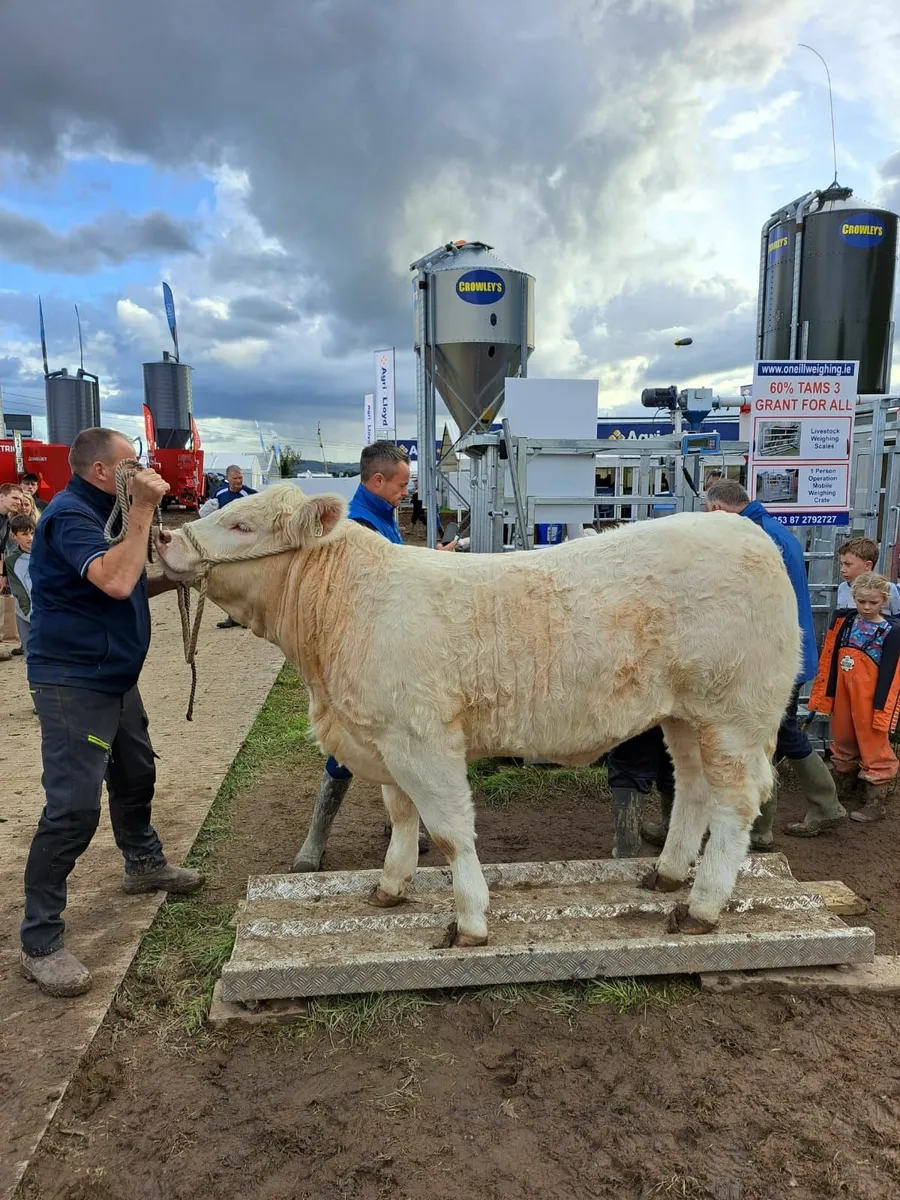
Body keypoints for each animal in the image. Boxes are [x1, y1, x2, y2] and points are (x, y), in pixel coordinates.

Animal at [158, 484, 801, 945]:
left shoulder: (421, 738)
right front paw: (390, 887)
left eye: (242, 525)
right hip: (684, 716)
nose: (164, 537)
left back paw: (702, 907)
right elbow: (402, 817)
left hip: (733, 716)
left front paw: (470, 920)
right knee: (692, 790)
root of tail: (747, 531)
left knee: (734, 805)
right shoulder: (386, 737)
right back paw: (665, 874)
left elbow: (448, 831)